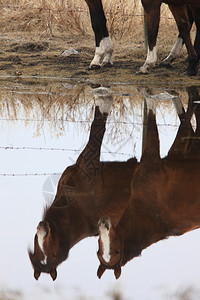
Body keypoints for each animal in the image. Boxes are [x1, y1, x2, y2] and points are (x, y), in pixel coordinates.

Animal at [28, 87, 138, 282]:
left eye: (52, 254)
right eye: (38, 253)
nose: (42, 228)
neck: (75, 210)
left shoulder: (89, 163)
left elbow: (97, 129)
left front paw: (103, 96)